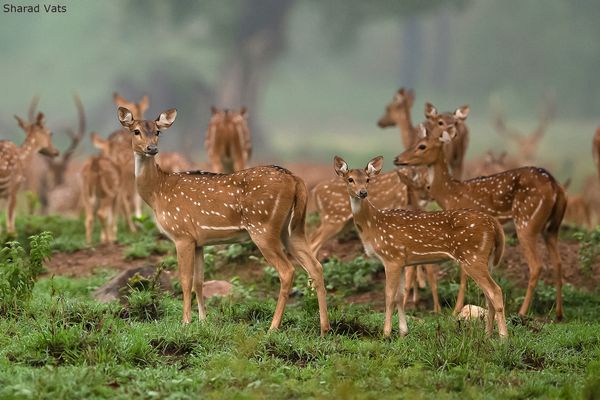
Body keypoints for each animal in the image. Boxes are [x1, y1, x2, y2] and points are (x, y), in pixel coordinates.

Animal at [116, 104, 332, 334]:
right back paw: (324, 328)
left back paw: (273, 327)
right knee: (316, 266)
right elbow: (199, 281)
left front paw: (185, 322)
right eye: (136, 131)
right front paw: (203, 320)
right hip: (293, 228)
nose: (152, 148)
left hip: (263, 227)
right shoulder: (199, 241)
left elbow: (184, 280)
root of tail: (296, 180)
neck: (158, 192)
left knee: (287, 271)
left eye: (158, 132)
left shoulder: (182, 234)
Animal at [336, 155, 508, 338]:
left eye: (368, 179)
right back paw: (487, 335)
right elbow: (400, 295)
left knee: (495, 291)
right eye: (350, 179)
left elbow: (389, 296)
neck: (372, 226)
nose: (363, 192)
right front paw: (403, 332)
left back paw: (503, 337)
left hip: (472, 256)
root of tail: (494, 224)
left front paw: (386, 333)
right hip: (485, 258)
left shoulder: (391, 257)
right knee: (488, 295)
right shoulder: (401, 261)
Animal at [394, 120, 568, 320]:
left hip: (526, 222)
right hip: (552, 227)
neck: (449, 195)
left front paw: (456, 309)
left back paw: (522, 312)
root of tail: (556, 187)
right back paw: (558, 313)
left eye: (422, 146)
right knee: (558, 263)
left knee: (537, 265)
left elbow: (463, 274)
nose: (397, 158)